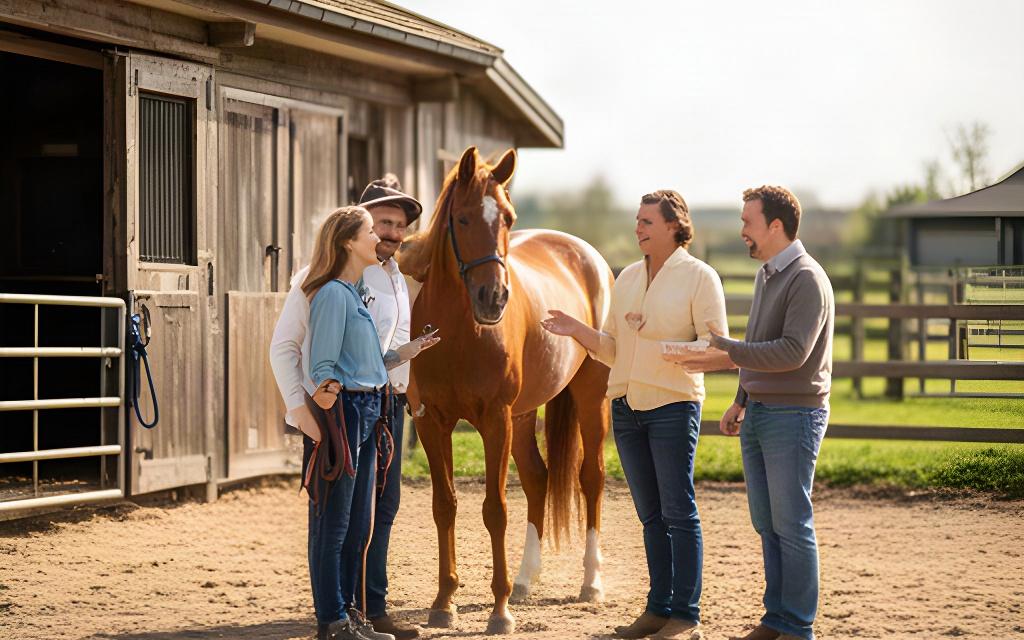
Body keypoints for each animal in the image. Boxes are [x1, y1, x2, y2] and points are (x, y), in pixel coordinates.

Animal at [399, 146, 613, 634]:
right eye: (461, 218)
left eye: (508, 218)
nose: (494, 298)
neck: (460, 334)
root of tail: (586, 254)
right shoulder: (432, 422)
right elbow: (445, 505)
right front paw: (444, 602)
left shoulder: (494, 420)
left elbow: (494, 510)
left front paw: (499, 612)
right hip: (523, 414)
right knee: (538, 479)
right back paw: (525, 581)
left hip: (590, 399)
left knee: (589, 478)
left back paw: (590, 582)